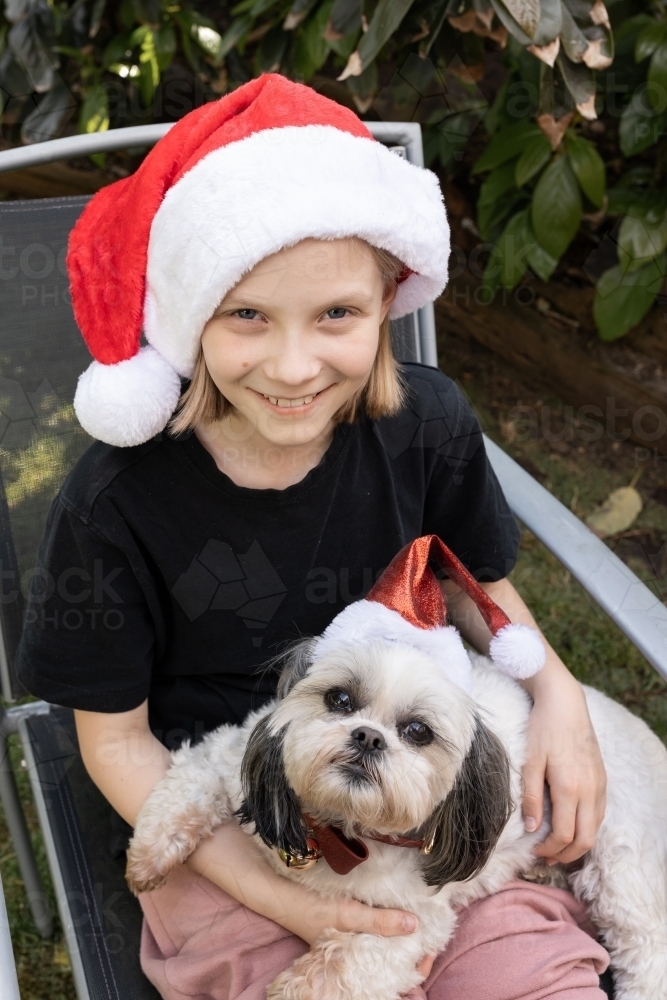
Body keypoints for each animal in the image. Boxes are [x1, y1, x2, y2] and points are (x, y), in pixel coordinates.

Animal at [126, 540, 667, 1000]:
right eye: (339, 699)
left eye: (418, 732)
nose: (368, 736)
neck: (337, 833)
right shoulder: (232, 759)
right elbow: (186, 787)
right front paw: (150, 857)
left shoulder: (410, 925)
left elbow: (341, 966)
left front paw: (297, 987)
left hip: (621, 862)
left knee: (647, 944)